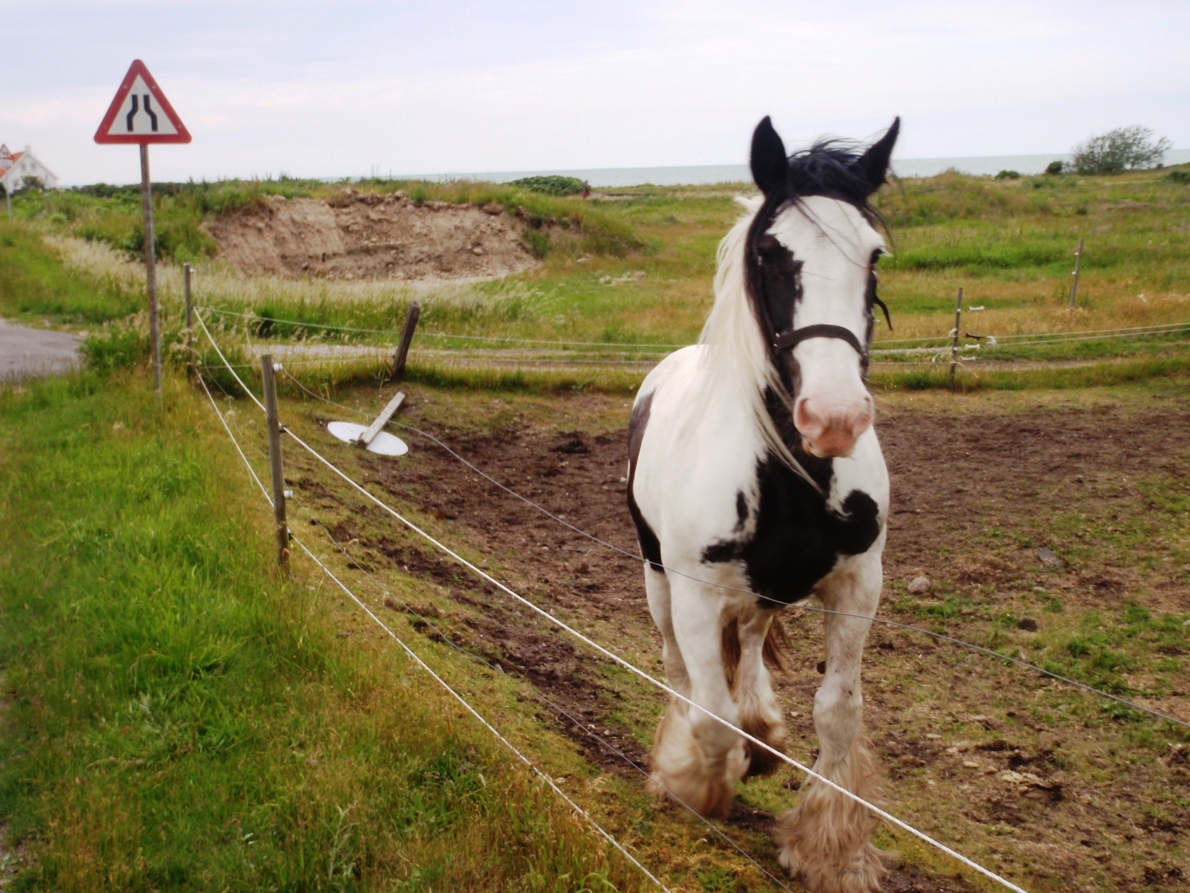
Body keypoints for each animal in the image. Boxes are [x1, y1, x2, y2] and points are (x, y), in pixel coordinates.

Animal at [628, 119, 894, 893]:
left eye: (874, 254)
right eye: (772, 254)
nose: (835, 417)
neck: (791, 473)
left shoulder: (858, 584)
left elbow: (838, 712)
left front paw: (826, 848)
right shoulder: (692, 590)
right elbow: (709, 713)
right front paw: (691, 782)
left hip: (761, 594)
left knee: (746, 641)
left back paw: (764, 731)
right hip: (657, 580)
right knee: (679, 673)